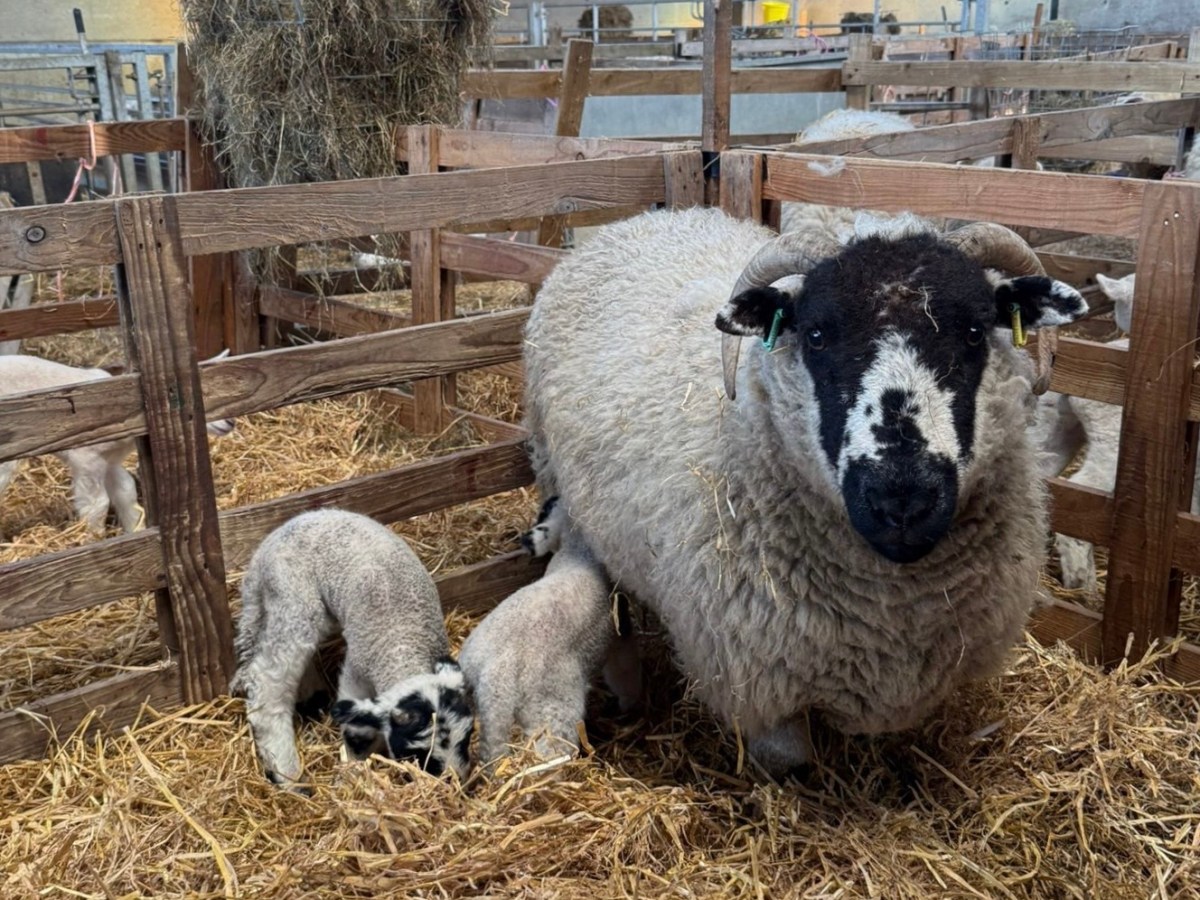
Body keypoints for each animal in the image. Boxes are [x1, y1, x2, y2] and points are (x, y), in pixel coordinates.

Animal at [0, 353, 234, 540]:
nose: (231, 422)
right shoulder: (87, 458)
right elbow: (97, 504)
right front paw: (94, 537)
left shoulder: (110, 460)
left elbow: (126, 490)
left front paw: (135, 531)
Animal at [231, 508, 473, 790]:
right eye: (417, 753)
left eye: (468, 737)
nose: (455, 784)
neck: (403, 645)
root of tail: (263, 551)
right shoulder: (356, 672)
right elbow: (357, 727)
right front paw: (354, 768)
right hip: (294, 599)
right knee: (268, 685)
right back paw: (289, 776)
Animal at [459, 516, 641, 766]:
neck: (577, 555)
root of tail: (495, 681)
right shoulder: (620, 625)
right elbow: (624, 669)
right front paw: (630, 704)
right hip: (552, 710)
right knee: (551, 750)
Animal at [523, 205, 1088, 775]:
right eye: (815, 335)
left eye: (975, 331)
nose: (902, 500)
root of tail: (645, 219)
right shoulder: (757, 681)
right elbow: (795, 761)